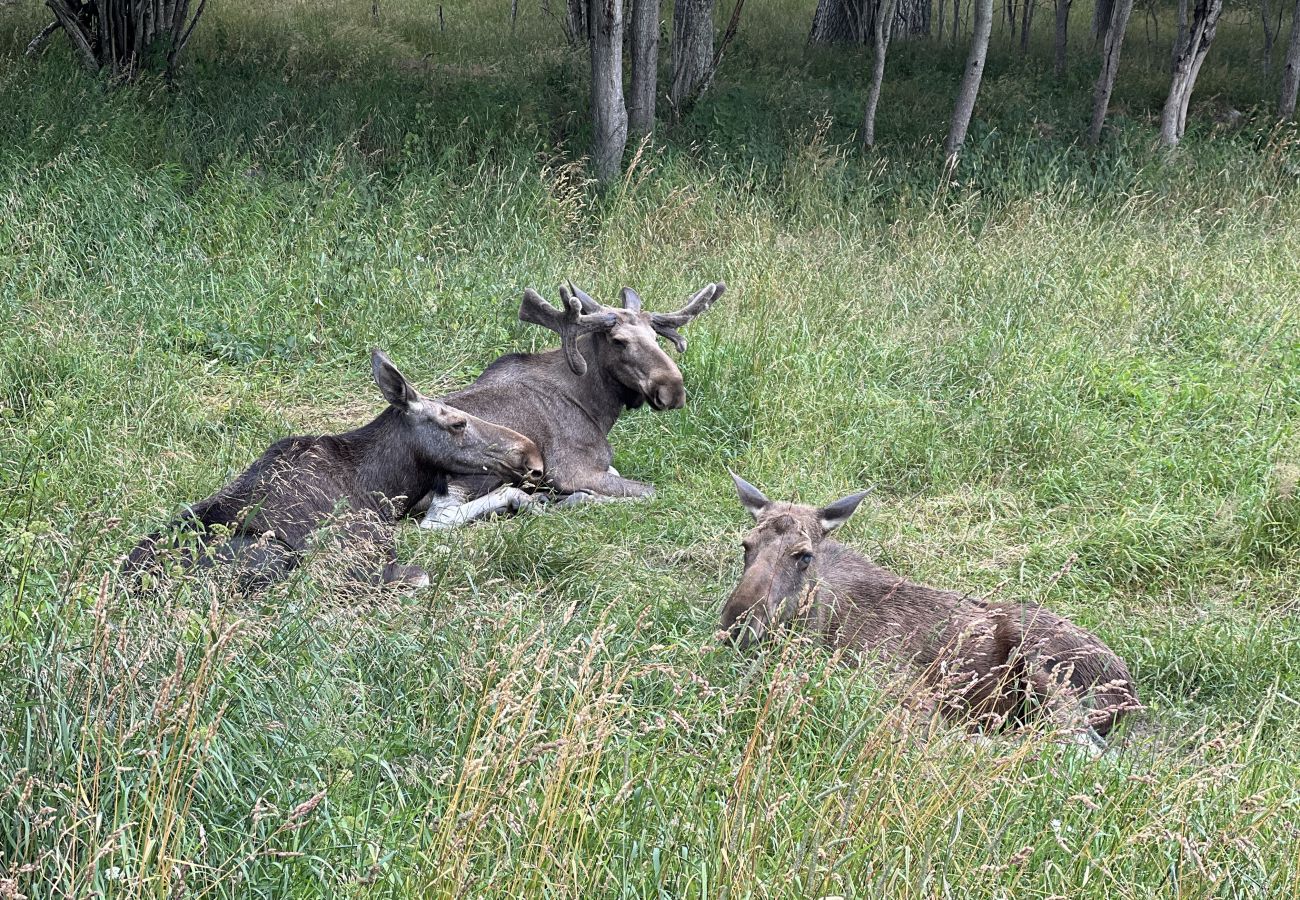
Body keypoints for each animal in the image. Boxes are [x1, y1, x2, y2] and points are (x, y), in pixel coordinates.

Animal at [125, 348, 543, 590]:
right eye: (457, 423)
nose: (533, 457)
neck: (386, 489)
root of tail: (129, 586)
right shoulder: (363, 563)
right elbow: (423, 574)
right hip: (273, 554)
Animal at [413, 280, 722, 528]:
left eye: (655, 337)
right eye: (618, 341)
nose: (673, 390)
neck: (597, 409)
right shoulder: (572, 471)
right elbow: (650, 492)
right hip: (482, 468)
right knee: (437, 519)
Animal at [722, 473, 1138, 749]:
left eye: (804, 555)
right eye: (746, 544)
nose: (737, 623)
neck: (819, 622)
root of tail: (1130, 693)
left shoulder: (900, 685)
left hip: (1044, 669)